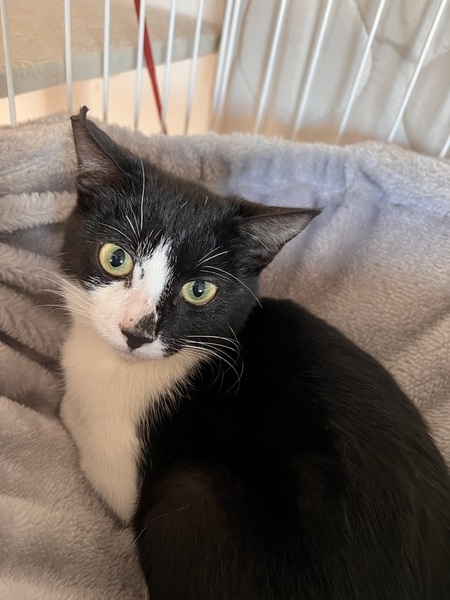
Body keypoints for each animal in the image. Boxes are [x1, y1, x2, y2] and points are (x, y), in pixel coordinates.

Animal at [60, 107, 450, 600]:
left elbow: (74, 422)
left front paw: (66, 403)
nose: (137, 331)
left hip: (189, 491)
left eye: (199, 290)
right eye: (116, 258)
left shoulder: (125, 480)